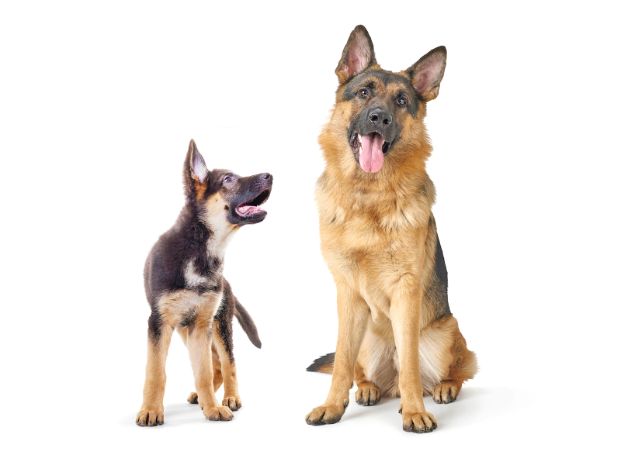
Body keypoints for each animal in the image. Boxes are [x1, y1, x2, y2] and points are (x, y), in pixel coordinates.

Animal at [136, 140, 272, 426]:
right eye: (228, 179)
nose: (270, 175)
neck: (200, 250)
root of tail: (227, 284)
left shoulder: (201, 326)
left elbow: (204, 372)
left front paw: (212, 409)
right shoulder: (160, 323)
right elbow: (156, 371)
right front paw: (151, 410)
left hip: (217, 325)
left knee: (227, 363)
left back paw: (229, 398)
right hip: (185, 330)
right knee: (217, 364)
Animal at [306, 25, 474, 432]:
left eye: (401, 100)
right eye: (364, 92)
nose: (379, 118)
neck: (368, 197)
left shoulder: (406, 291)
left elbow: (410, 364)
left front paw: (415, 412)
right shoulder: (348, 295)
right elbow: (341, 365)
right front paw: (332, 406)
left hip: (446, 331)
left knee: (456, 368)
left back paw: (443, 387)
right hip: (368, 338)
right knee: (360, 371)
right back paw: (368, 389)